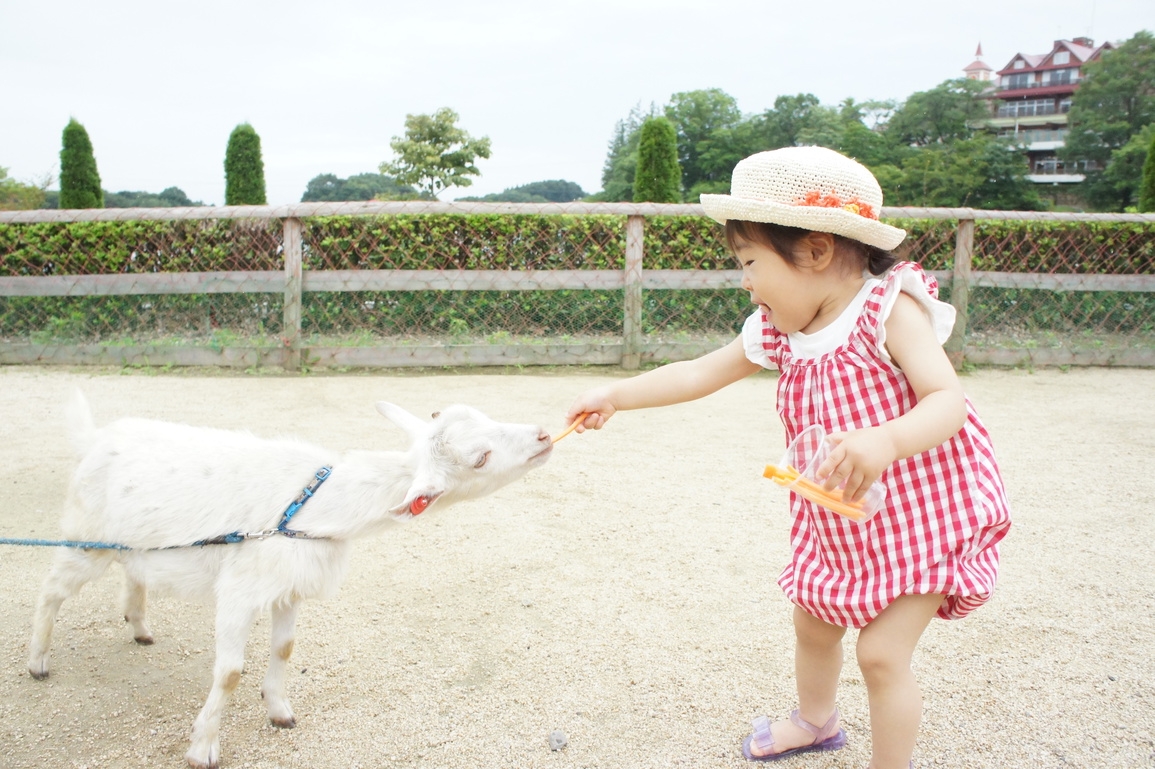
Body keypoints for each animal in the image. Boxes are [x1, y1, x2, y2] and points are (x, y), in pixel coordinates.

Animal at [27, 392, 549, 762]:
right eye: (480, 458)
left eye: (484, 417)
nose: (544, 435)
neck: (314, 505)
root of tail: (94, 438)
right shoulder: (241, 589)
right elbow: (230, 672)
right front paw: (203, 748)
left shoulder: (290, 586)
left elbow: (284, 648)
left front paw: (279, 711)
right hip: (86, 540)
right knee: (50, 591)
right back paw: (37, 662)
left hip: (134, 546)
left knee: (133, 575)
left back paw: (138, 626)